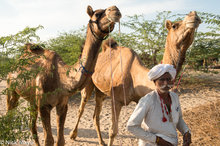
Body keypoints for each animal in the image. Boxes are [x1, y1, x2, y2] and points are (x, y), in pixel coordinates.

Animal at [6, 5, 122, 146]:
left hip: (32, 99)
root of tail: (14, 65)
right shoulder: (44, 106)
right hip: (11, 89)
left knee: (31, 126)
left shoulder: (62, 104)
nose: (115, 10)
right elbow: (49, 140)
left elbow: (60, 140)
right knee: (8, 117)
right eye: (97, 14)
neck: (61, 78)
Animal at [70, 10, 201, 145]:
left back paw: (101, 141)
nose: (193, 14)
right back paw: (73, 135)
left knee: (95, 115)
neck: (135, 76)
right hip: (89, 84)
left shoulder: (141, 99)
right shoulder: (116, 100)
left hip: (101, 91)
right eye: (175, 25)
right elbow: (113, 131)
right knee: (81, 108)